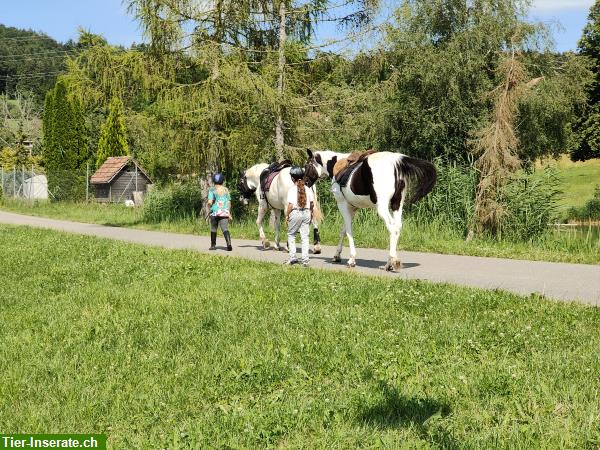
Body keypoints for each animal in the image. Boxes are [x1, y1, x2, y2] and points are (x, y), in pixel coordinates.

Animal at [304, 150, 436, 270]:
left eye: (308, 165)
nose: (305, 182)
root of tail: (395, 161)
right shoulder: (352, 209)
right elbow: (343, 231)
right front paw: (337, 255)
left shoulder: (343, 205)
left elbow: (349, 231)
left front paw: (351, 259)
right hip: (397, 205)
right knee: (398, 227)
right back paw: (390, 262)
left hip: (382, 208)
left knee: (392, 228)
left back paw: (392, 262)